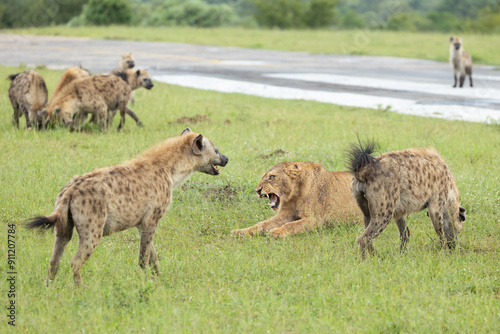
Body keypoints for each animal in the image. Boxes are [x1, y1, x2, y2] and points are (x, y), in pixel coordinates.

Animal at [232, 162, 362, 237]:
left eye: (272, 177)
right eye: (263, 177)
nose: (257, 190)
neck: (294, 195)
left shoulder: (314, 219)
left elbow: (291, 225)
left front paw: (275, 232)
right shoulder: (283, 215)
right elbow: (261, 224)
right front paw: (240, 232)